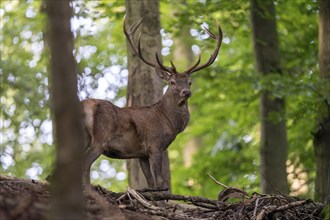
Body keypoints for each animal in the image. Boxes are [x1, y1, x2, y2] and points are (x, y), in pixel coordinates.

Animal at [81, 17, 223, 189]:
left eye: (189, 82)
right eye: (172, 82)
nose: (186, 92)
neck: (168, 122)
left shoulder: (140, 153)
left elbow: (150, 183)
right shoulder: (155, 145)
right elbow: (160, 183)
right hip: (100, 137)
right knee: (85, 163)